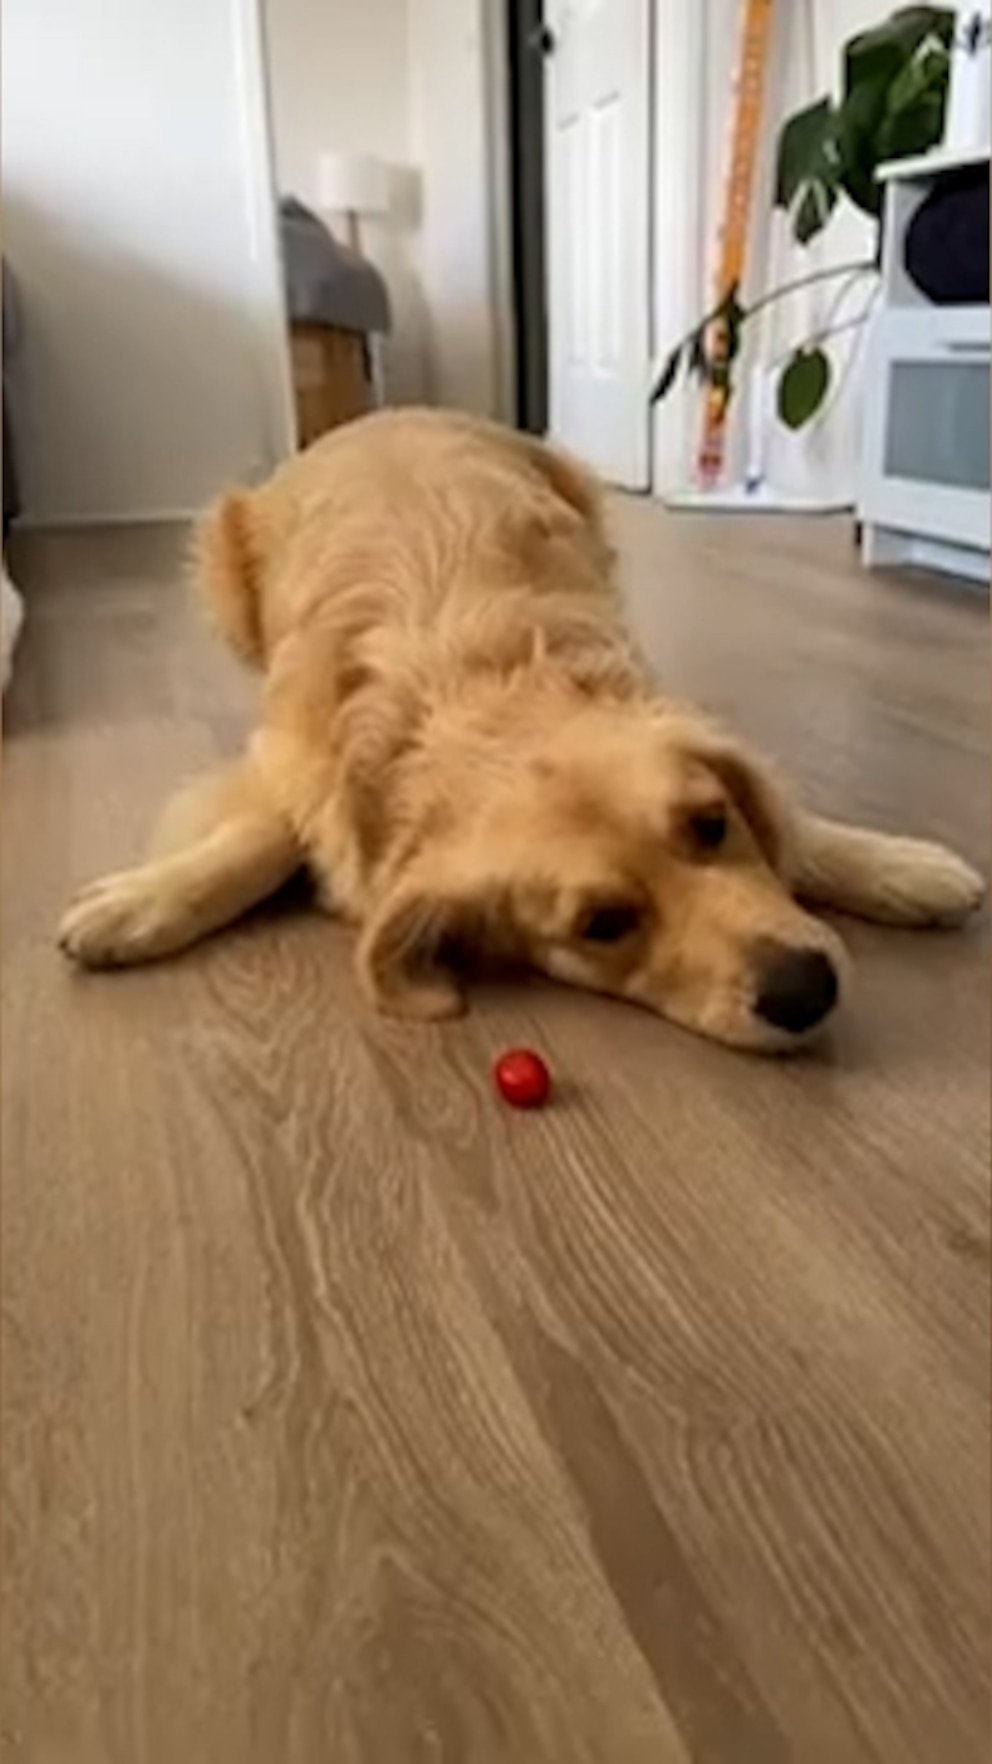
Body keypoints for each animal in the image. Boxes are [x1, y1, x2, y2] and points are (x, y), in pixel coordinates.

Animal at [60, 405, 981, 1051]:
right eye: (602, 928)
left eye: (712, 824)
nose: (806, 990)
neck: (477, 696)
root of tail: (371, 416)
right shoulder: (291, 760)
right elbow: (265, 838)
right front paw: (140, 903)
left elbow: (793, 817)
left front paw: (902, 866)